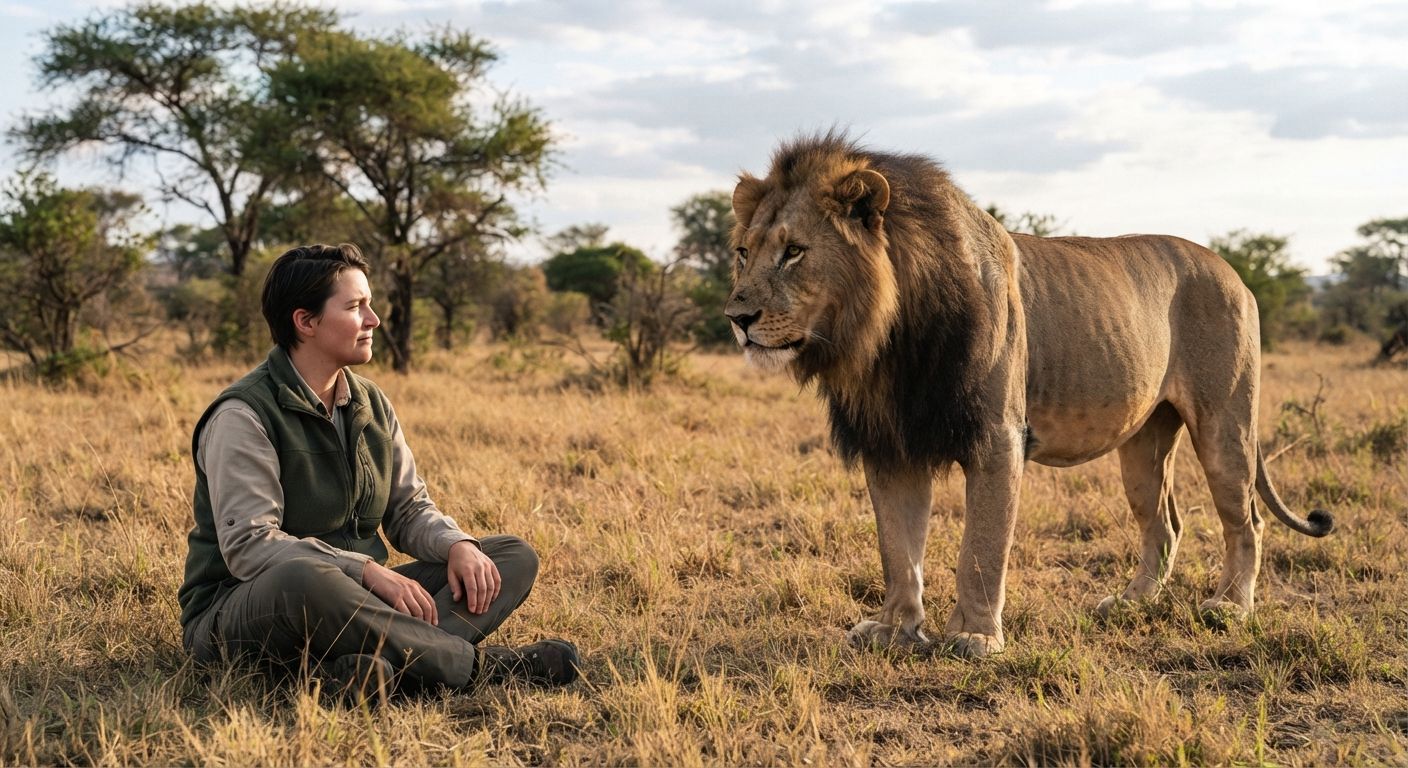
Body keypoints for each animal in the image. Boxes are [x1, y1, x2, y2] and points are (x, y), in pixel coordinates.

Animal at [725, 133, 1333, 658]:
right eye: (743, 253)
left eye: (795, 251)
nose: (736, 317)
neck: (888, 342)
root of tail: (1235, 273)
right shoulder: (892, 443)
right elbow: (898, 548)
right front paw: (894, 628)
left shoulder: (997, 436)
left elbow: (980, 548)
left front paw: (973, 637)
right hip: (1144, 440)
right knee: (1164, 524)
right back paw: (1129, 605)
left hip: (1225, 424)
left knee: (1245, 520)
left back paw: (1229, 608)